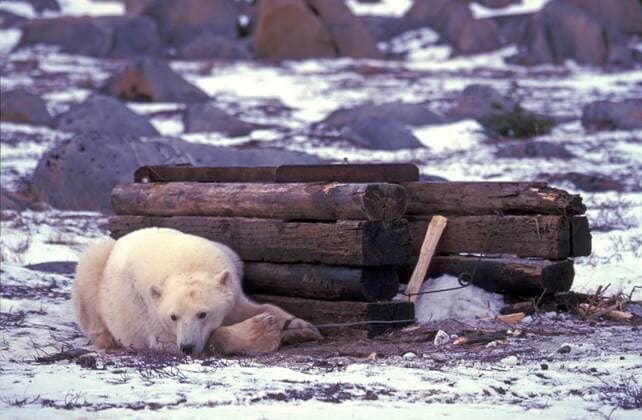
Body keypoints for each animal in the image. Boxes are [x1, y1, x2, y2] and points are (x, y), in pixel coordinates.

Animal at [73, 227, 322, 355]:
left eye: (203, 314)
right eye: (173, 316)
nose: (187, 347)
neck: (186, 266)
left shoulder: (230, 281)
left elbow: (247, 307)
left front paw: (299, 327)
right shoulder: (151, 313)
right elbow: (165, 340)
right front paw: (261, 330)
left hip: (231, 253)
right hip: (96, 274)